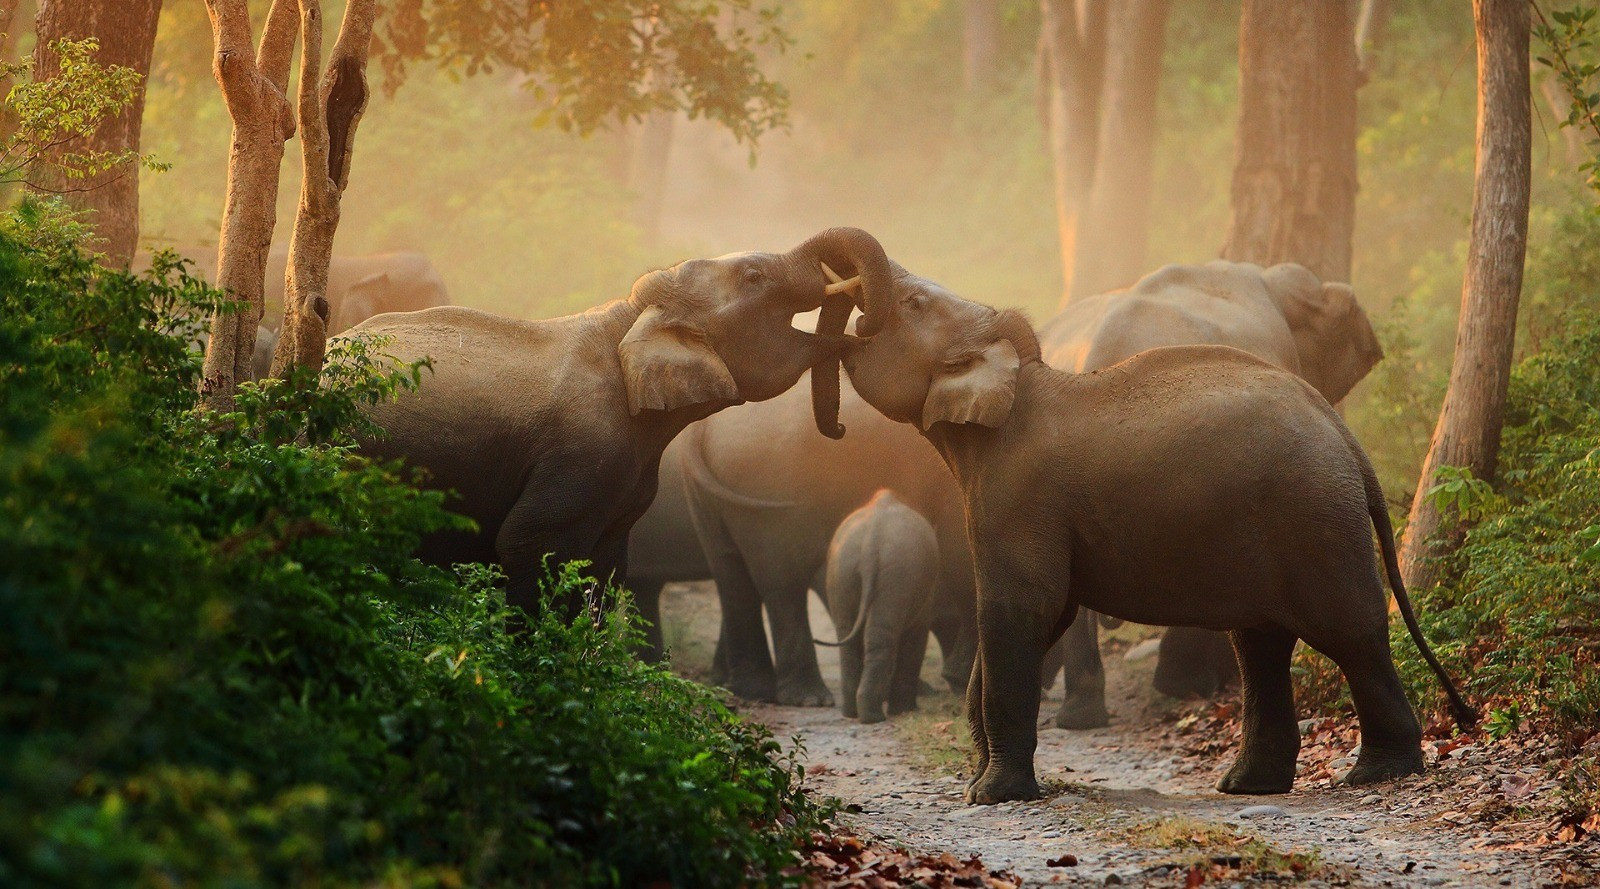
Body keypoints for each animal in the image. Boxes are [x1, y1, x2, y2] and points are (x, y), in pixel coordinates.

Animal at [344, 227, 895, 612]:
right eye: (754, 277)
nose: (839, 428)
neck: (629, 317)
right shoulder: (577, 456)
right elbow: (527, 545)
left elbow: (606, 567)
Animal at [816, 489, 940, 723]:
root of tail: (872, 541)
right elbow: (917, 634)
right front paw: (906, 711)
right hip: (899, 573)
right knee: (882, 636)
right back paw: (874, 717)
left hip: (842, 569)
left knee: (849, 636)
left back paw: (852, 713)